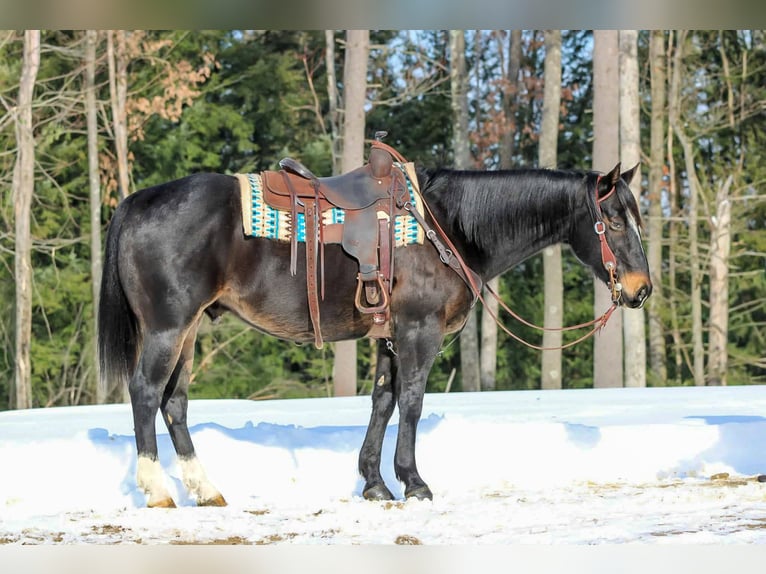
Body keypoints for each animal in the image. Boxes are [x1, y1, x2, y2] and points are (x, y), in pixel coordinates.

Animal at [98, 161, 651, 507]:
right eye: (613, 221)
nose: (641, 289)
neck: (448, 225)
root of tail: (139, 201)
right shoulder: (419, 331)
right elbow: (411, 403)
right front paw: (414, 482)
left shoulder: (389, 336)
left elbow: (382, 403)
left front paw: (374, 484)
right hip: (168, 327)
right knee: (145, 393)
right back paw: (157, 490)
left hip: (190, 330)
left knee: (174, 403)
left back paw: (206, 489)